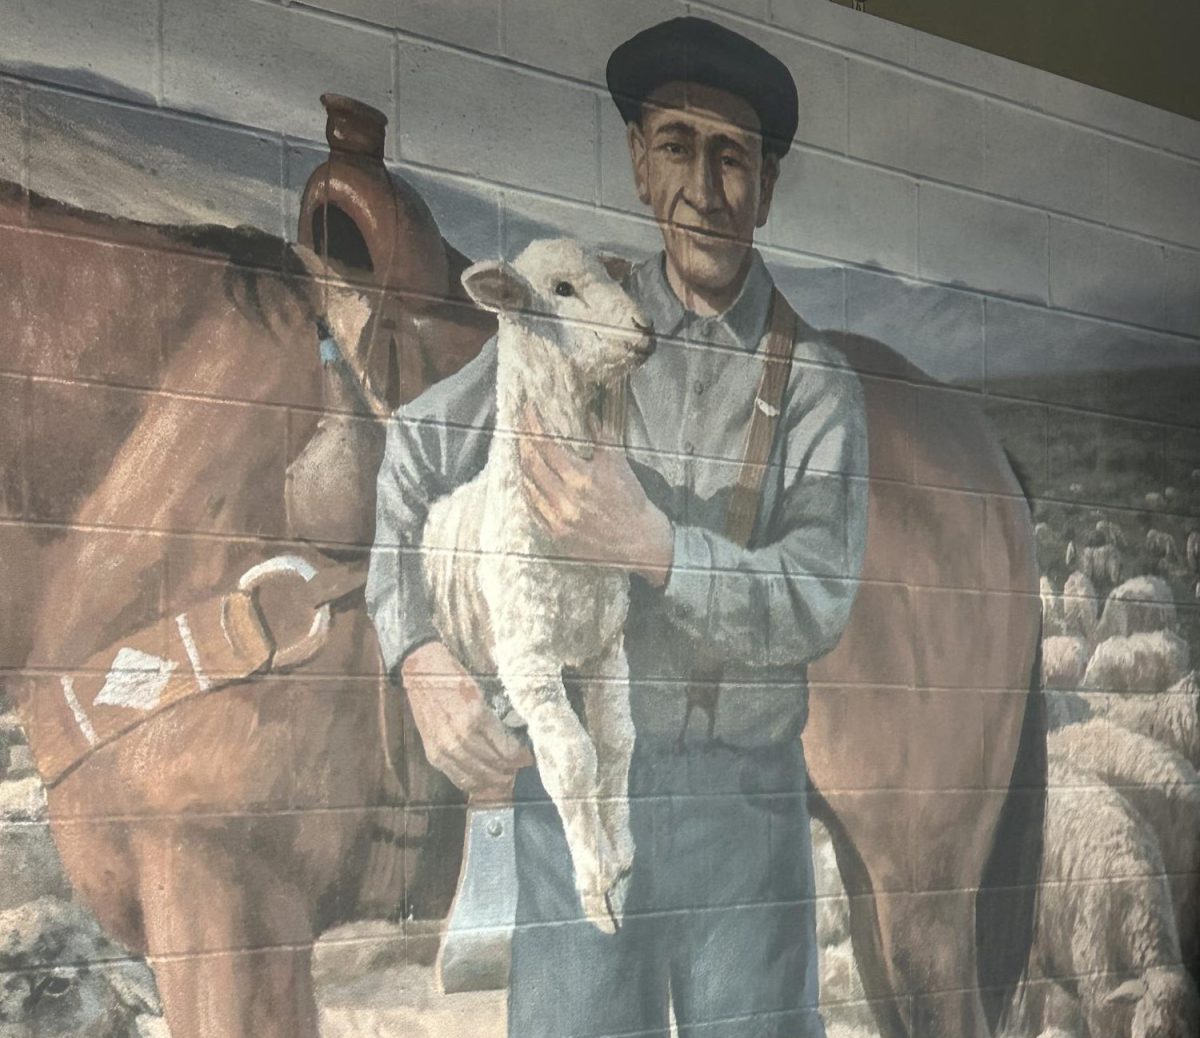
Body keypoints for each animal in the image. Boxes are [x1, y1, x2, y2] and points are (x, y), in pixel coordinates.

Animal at [424, 241, 657, 931]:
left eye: (608, 275)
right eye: (561, 289)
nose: (644, 329)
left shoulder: (606, 645)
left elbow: (617, 741)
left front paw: (622, 852)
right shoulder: (529, 657)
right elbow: (574, 757)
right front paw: (597, 885)